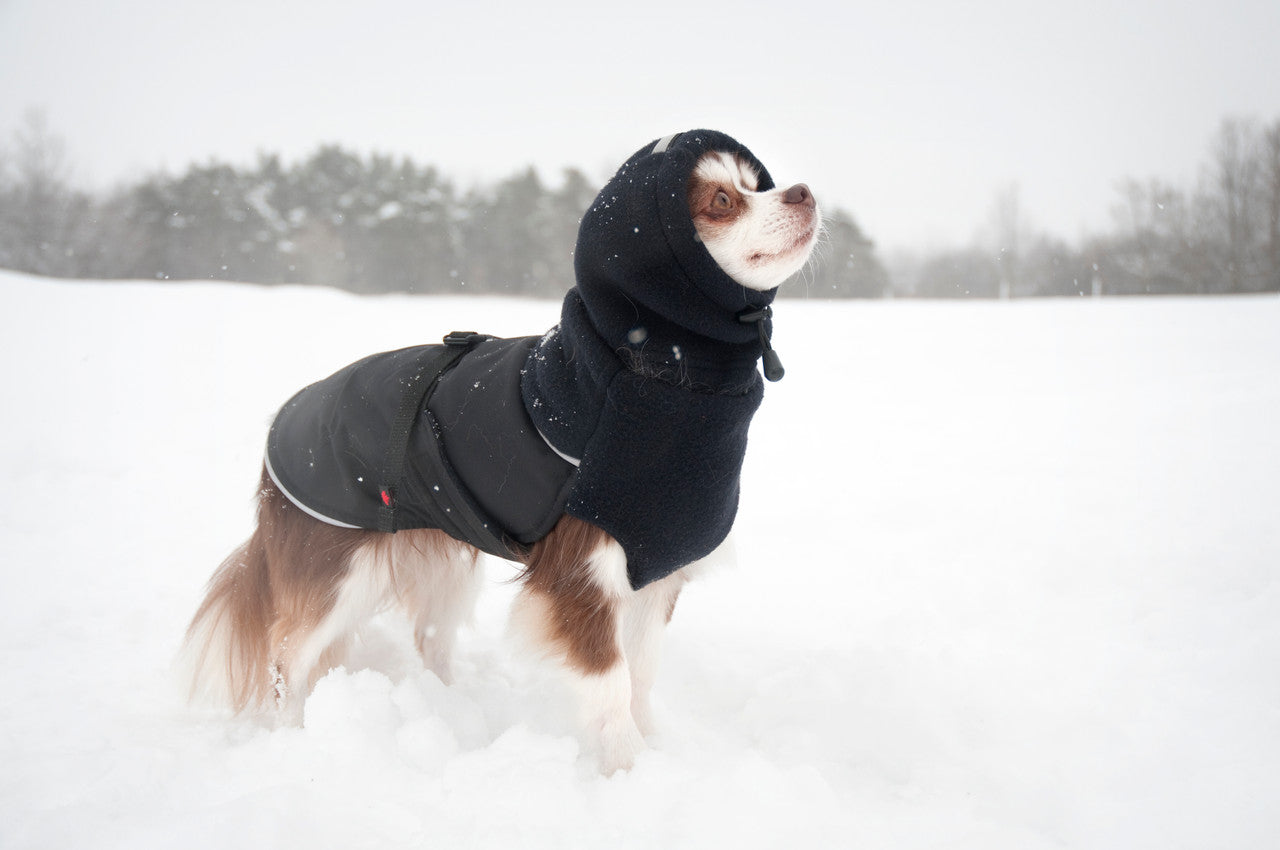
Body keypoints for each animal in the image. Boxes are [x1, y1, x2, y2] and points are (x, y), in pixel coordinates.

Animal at [180, 129, 819, 773]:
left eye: (756, 184)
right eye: (722, 201)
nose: (804, 192)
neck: (660, 379)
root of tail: (279, 428)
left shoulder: (655, 572)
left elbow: (641, 676)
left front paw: (657, 754)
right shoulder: (580, 576)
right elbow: (612, 683)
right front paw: (630, 770)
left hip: (438, 560)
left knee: (427, 641)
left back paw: (449, 705)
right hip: (337, 570)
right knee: (286, 657)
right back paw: (295, 738)